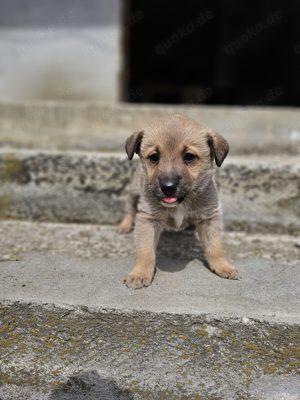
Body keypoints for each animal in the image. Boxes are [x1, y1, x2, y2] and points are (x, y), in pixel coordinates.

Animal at [118, 114, 239, 290]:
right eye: (154, 157)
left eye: (189, 157)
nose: (168, 187)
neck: (181, 203)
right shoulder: (147, 219)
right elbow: (145, 251)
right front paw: (140, 273)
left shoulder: (209, 218)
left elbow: (215, 247)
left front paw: (223, 266)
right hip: (134, 189)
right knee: (130, 208)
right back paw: (124, 225)